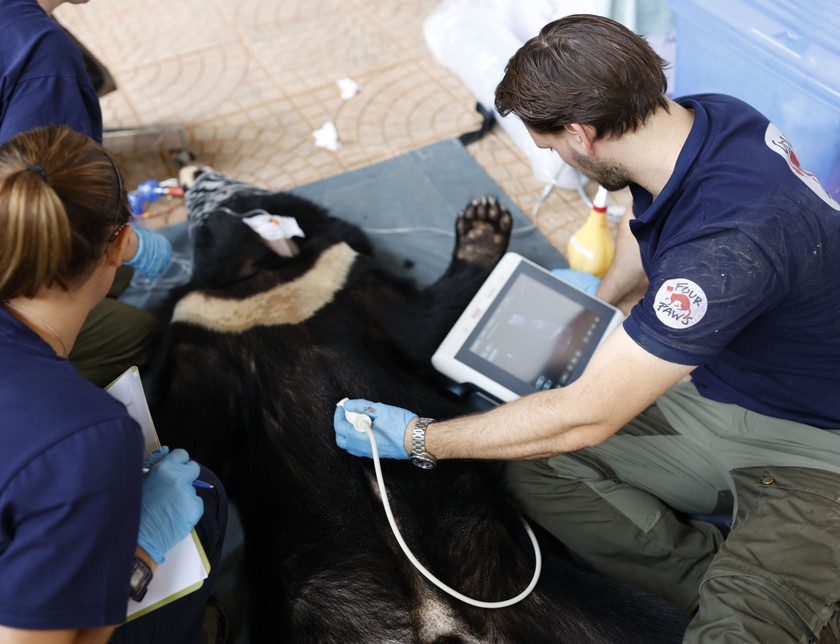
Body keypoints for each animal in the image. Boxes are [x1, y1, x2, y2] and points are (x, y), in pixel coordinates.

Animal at [151, 169, 688, 640]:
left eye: (219, 187)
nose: (189, 172)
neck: (265, 277)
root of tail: (439, 620)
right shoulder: (207, 328)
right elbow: (188, 430)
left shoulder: (342, 279)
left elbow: (422, 328)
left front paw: (483, 220)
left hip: (542, 593)